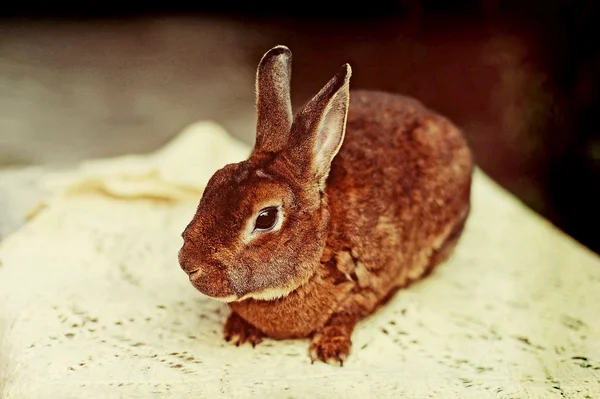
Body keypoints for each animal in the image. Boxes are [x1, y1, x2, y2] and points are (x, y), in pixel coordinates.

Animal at [178, 44, 474, 366]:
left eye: (266, 218)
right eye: (214, 182)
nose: (188, 265)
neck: (323, 242)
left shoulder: (369, 285)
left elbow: (346, 314)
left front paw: (329, 349)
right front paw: (238, 331)